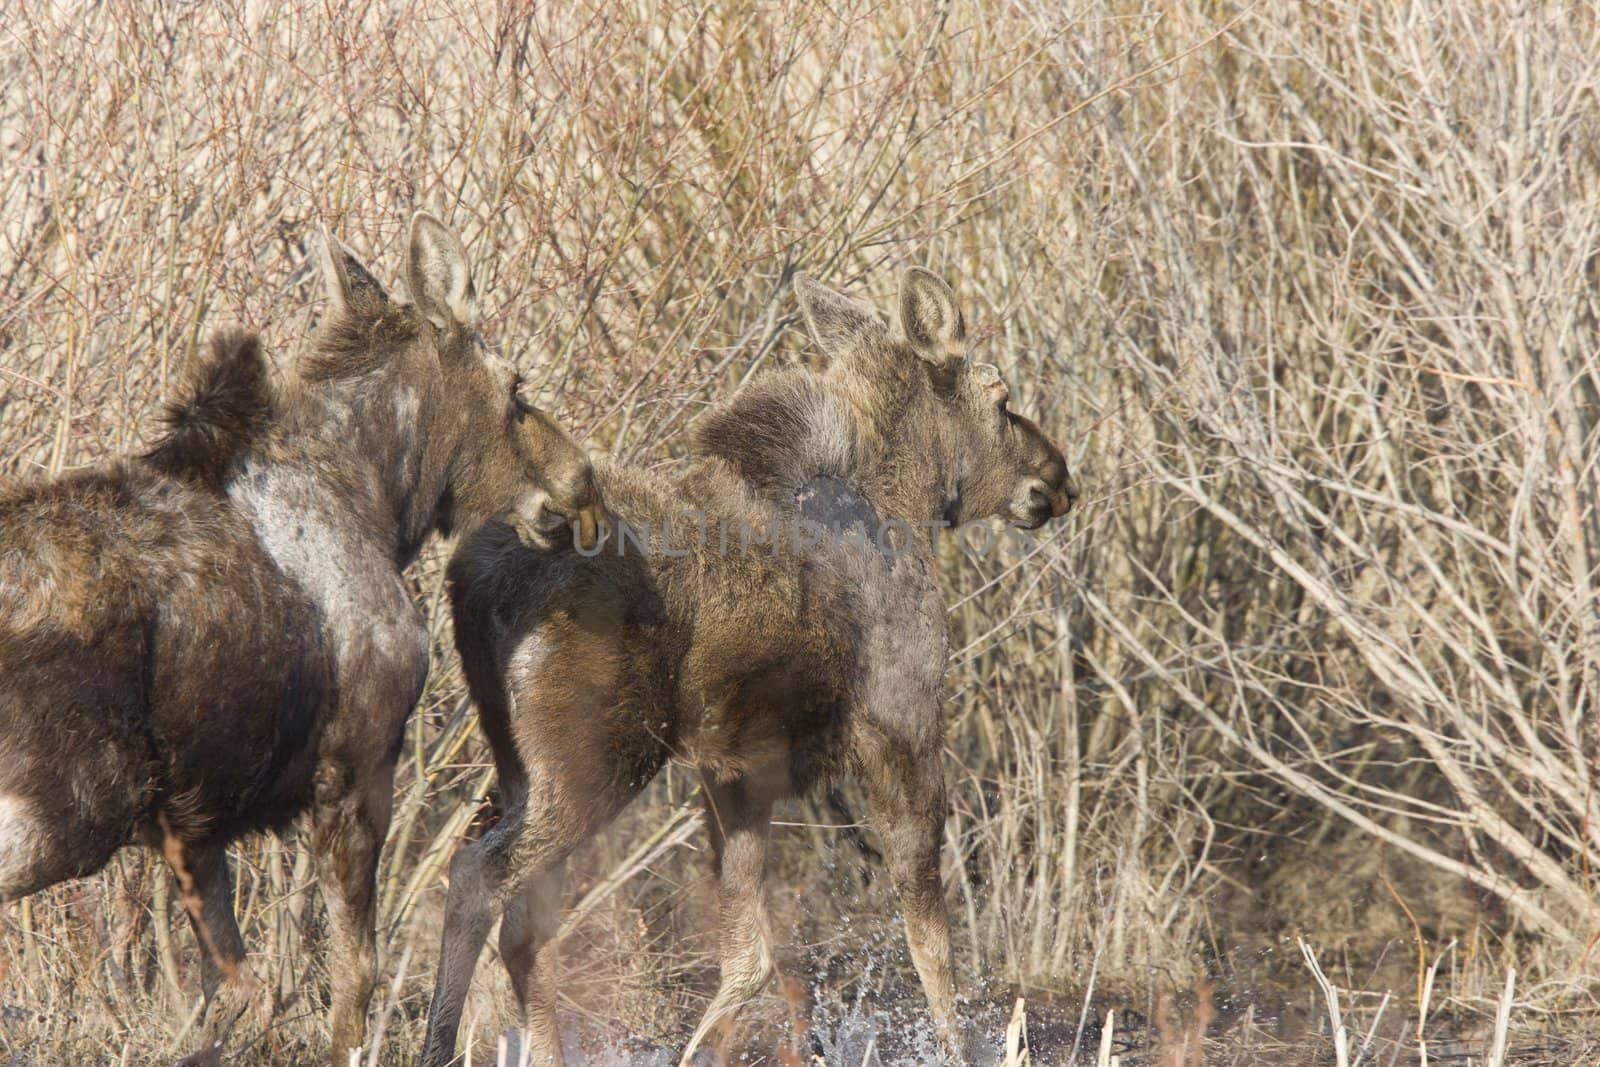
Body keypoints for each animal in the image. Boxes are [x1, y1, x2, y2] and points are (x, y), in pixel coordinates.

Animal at [1, 214, 601, 1067]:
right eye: (516, 388)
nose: (580, 480)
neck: (382, 501)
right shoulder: (357, 767)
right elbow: (354, 974)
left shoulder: (195, 820)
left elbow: (226, 993)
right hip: (73, 807)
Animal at [422, 268, 1075, 1067]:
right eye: (1003, 399)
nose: (1059, 478)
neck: (905, 502)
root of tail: (475, 579)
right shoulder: (904, 726)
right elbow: (930, 940)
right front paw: (955, 1047)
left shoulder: (736, 770)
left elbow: (748, 958)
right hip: (594, 759)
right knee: (482, 880)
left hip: (521, 764)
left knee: (517, 917)